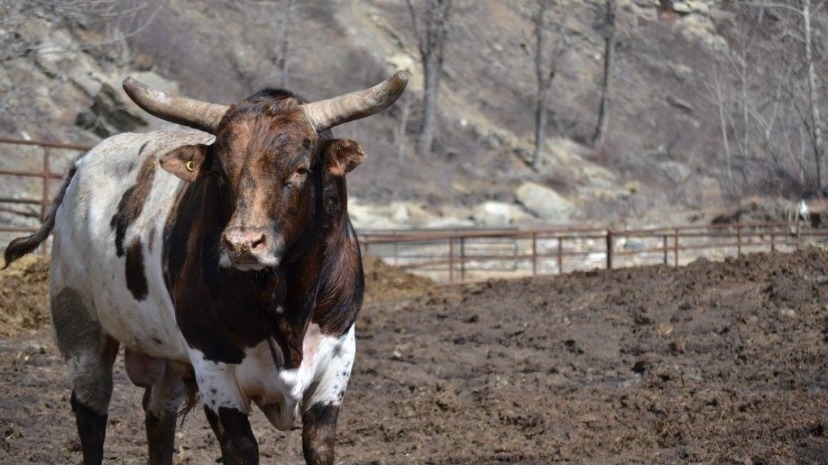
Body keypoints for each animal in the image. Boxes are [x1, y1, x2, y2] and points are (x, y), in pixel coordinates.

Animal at [4, 70, 408, 465]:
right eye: (221, 172)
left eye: (300, 169)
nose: (243, 243)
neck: (283, 305)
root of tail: (79, 165)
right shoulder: (214, 368)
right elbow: (242, 450)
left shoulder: (337, 360)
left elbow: (319, 446)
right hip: (79, 324)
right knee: (91, 413)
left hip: (163, 353)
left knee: (159, 415)